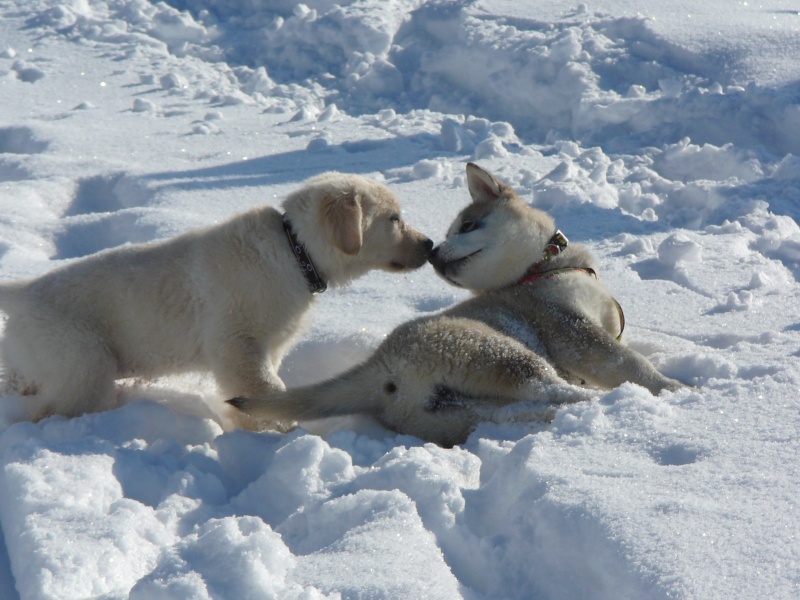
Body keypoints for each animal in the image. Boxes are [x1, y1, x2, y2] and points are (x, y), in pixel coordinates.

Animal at [0, 170, 432, 422]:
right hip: (83, 362)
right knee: (50, 409)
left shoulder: (269, 345)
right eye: (394, 219)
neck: (295, 251)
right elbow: (264, 388)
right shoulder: (236, 344)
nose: (429, 244)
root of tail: (24, 291)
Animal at [230, 164, 680, 446]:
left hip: (459, 412)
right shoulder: (572, 330)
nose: (432, 253)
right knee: (552, 389)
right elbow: (630, 363)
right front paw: (671, 386)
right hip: (501, 354)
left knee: (519, 410)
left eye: (467, 225)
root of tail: (381, 369)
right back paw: (619, 404)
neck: (540, 269)